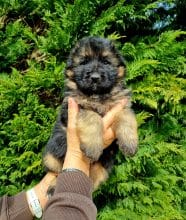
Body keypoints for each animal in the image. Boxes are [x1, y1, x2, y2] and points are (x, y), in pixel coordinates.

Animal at [42, 36, 137, 189]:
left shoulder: (121, 104)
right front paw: (93, 147)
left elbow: (126, 118)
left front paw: (130, 144)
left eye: (106, 61)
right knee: (57, 172)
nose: (95, 77)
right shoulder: (75, 106)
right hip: (50, 157)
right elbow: (92, 118)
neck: (97, 95)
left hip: (102, 169)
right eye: (84, 62)